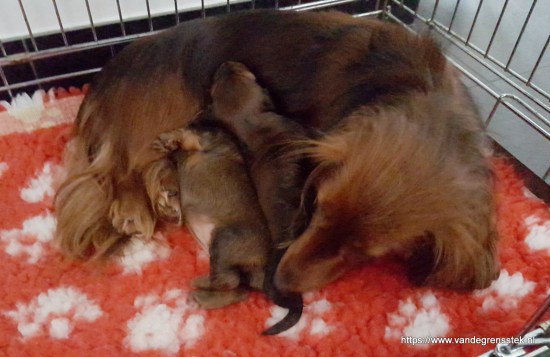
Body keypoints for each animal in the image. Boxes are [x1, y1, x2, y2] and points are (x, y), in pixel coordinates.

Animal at [153, 124, 272, 308]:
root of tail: (262, 266)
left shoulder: (202, 143)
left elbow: (186, 136)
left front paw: (168, 139)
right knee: (238, 291)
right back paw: (202, 298)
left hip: (223, 241)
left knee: (228, 281)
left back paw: (200, 284)